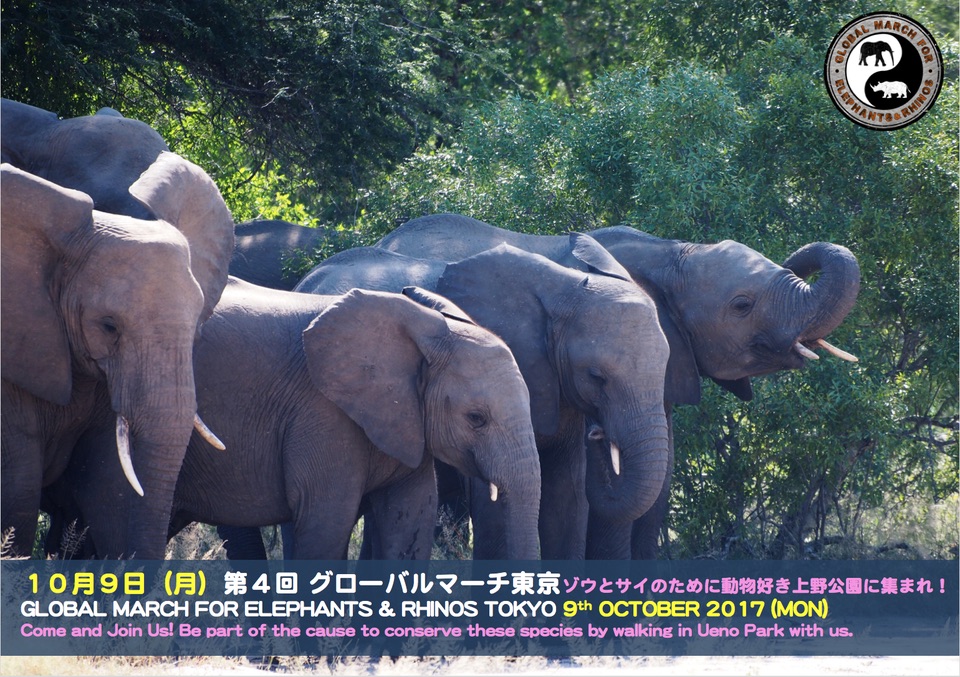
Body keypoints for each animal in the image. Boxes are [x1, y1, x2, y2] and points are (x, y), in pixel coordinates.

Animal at [56, 280, 544, 560]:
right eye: (476, 418)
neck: (425, 330)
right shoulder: (323, 413)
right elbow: (325, 523)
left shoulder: (403, 422)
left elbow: (410, 526)